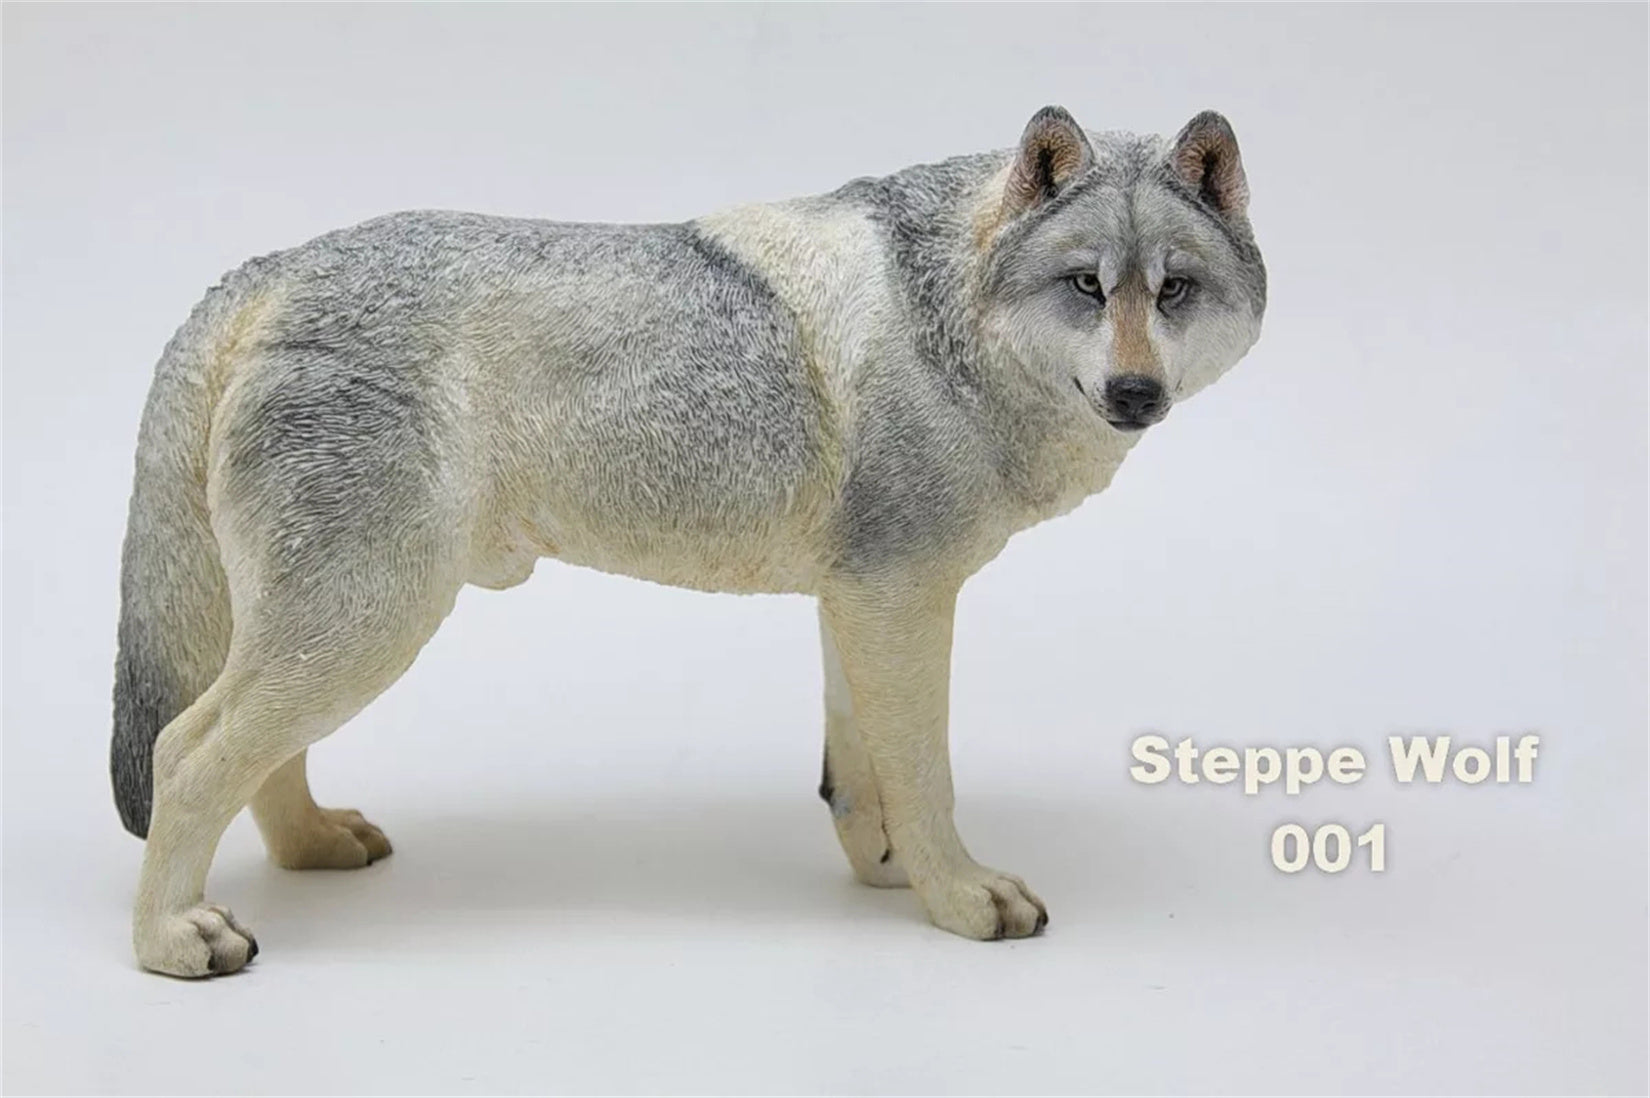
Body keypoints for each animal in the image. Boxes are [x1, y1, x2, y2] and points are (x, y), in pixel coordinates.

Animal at [111, 105, 1265, 976]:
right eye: (1084, 286)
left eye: (1172, 289)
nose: (1136, 393)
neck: (949, 320)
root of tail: (266, 271)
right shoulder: (904, 597)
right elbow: (926, 773)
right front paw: (958, 897)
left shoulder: (859, 599)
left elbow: (860, 776)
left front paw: (887, 872)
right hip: (368, 624)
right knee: (187, 752)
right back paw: (171, 940)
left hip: (334, 628)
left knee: (258, 759)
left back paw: (314, 849)